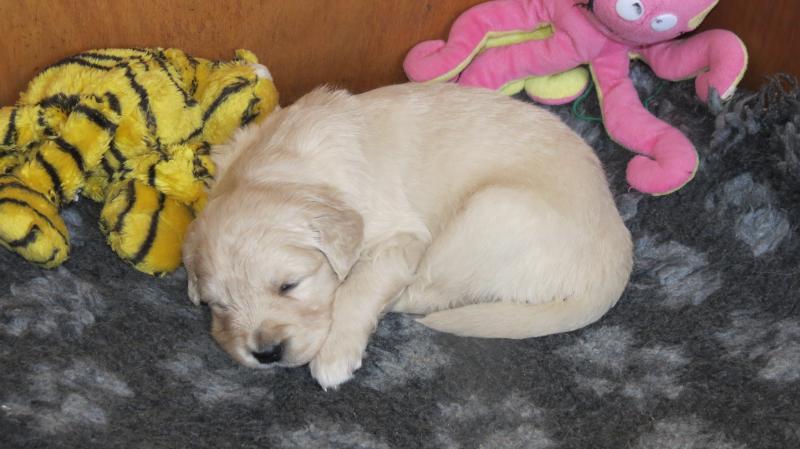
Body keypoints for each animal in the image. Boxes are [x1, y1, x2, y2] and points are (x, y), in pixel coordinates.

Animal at [181, 83, 632, 388]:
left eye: (289, 285)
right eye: (218, 305)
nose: (266, 353)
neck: (282, 166)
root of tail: (617, 254)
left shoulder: (400, 235)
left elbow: (356, 290)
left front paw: (334, 356)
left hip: (488, 213)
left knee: (434, 292)